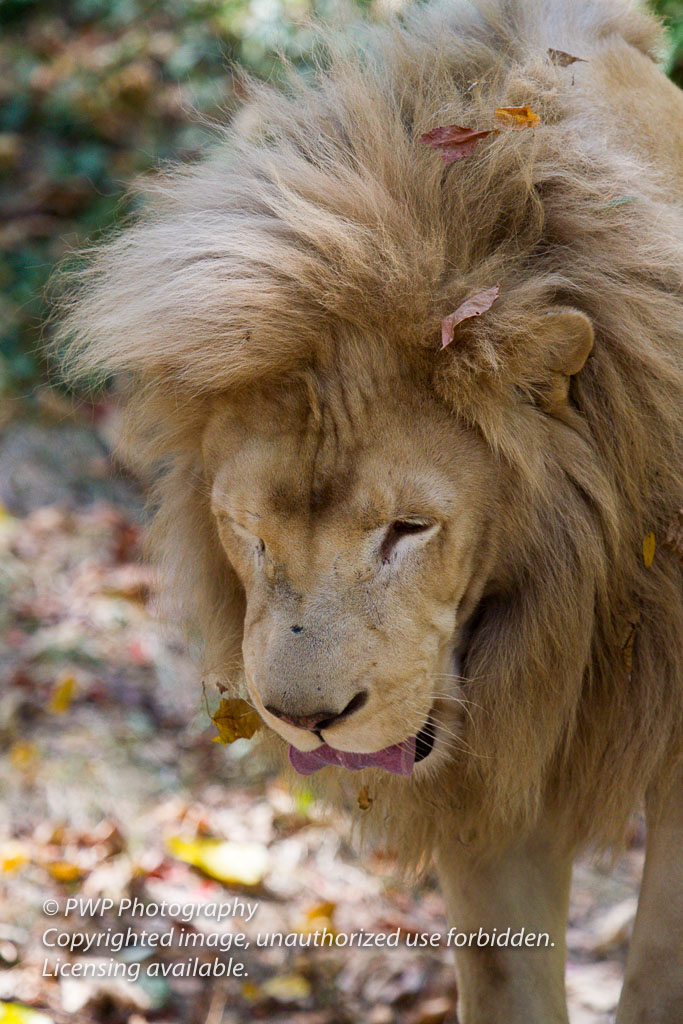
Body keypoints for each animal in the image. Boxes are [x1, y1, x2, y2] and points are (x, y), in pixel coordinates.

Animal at [54, 0, 683, 1019]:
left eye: (406, 531)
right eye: (250, 533)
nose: (309, 719)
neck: (582, 600)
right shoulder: (487, 783)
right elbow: (505, 978)